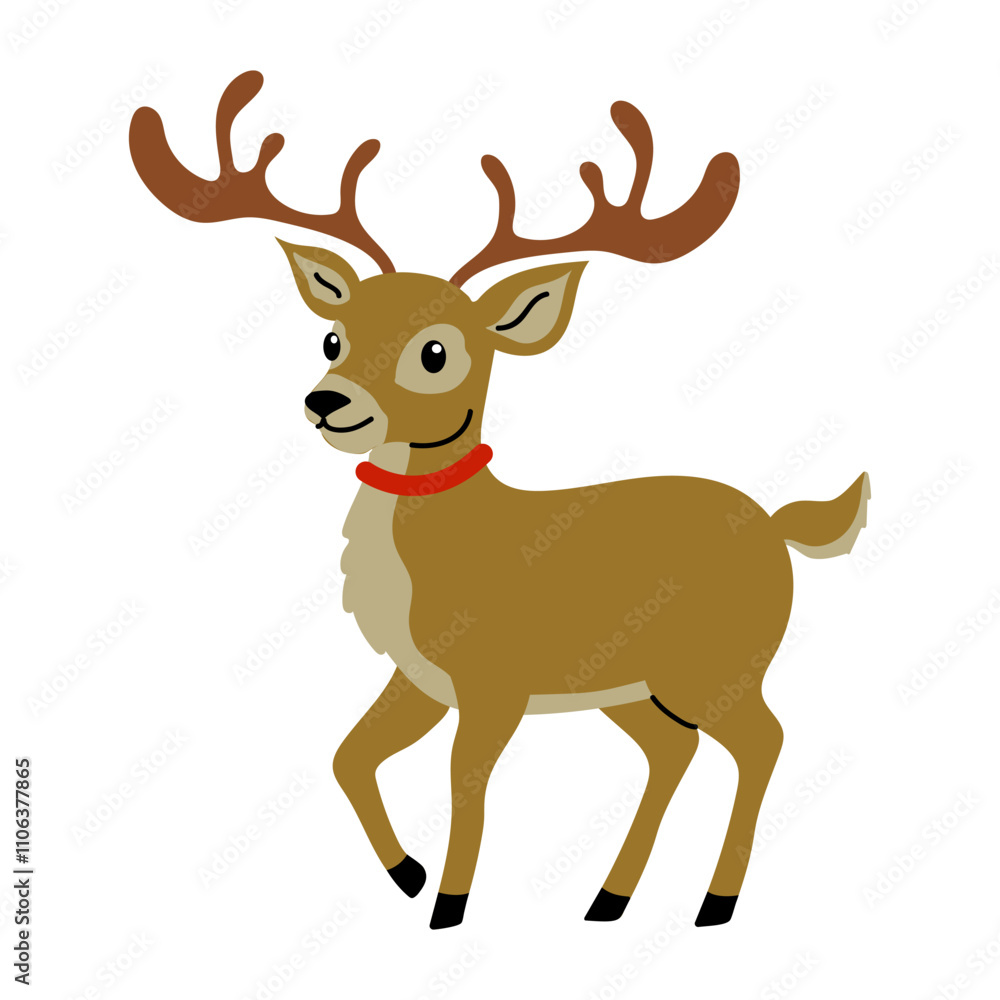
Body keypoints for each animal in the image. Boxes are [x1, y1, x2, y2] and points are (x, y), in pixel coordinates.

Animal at [130, 71, 870, 930]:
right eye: (332, 337)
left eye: (436, 352)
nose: (326, 402)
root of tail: (778, 530)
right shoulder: (422, 675)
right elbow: (350, 755)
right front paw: (408, 875)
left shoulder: (494, 680)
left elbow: (466, 783)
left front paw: (448, 905)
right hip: (633, 683)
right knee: (673, 749)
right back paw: (609, 899)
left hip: (718, 664)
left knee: (763, 740)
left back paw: (715, 903)